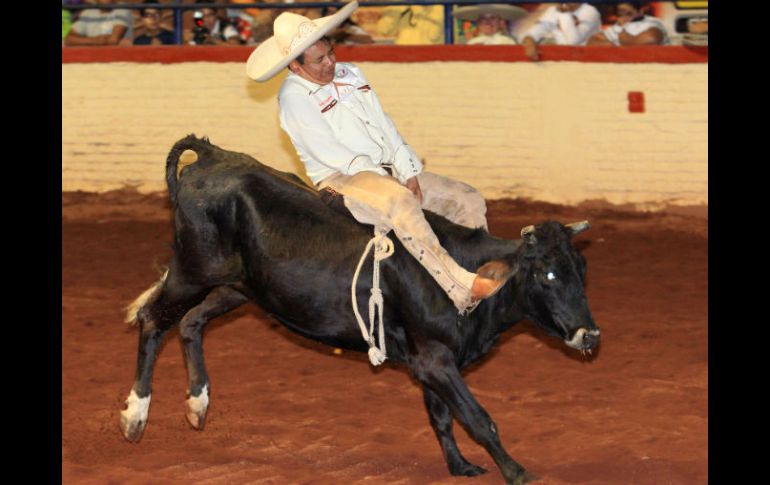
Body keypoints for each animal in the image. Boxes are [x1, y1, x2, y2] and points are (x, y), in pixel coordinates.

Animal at [118, 133, 600, 484]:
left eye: (581, 269)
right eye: (547, 275)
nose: (590, 335)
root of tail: (212, 156)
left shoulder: (430, 362)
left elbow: (443, 417)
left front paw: (460, 466)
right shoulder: (435, 360)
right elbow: (478, 419)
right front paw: (518, 472)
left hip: (237, 287)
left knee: (191, 323)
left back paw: (197, 404)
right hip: (190, 273)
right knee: (153, 320)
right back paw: (135, 416)